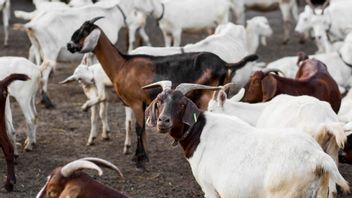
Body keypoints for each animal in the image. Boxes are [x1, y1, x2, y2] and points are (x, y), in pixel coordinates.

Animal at [66, 17, 258, 169]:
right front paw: (142, 155)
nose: (69, 45)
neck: (123, 65)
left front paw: (140, 160)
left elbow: (138, 128)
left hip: (207, 96)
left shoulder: (136, 102)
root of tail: (225, 63)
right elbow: (140, 128)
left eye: (84, 31)